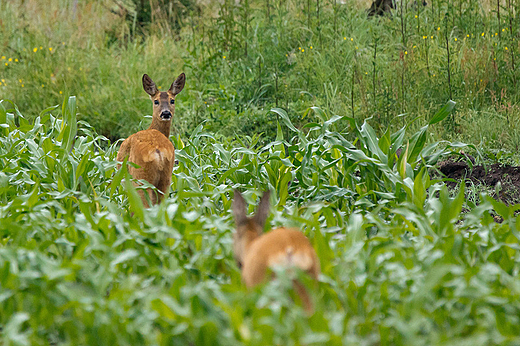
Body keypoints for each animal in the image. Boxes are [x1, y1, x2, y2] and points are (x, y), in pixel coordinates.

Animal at [117, 72, 186, 207]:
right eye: (156, 101)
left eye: (172, 100)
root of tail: (158, 152)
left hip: (140, 178)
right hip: (165, 179)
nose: (166, 113)